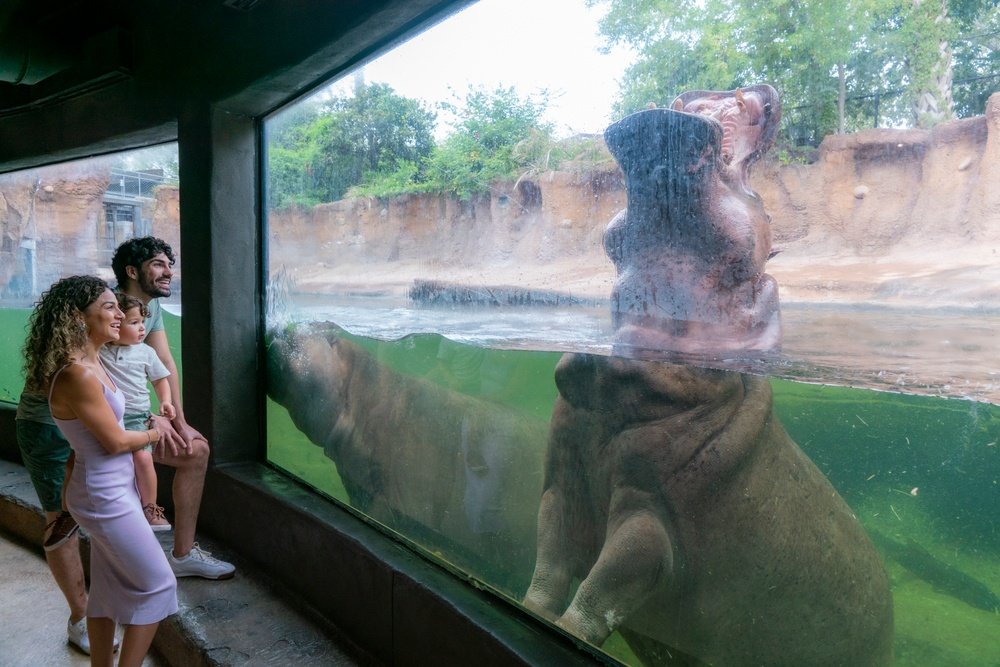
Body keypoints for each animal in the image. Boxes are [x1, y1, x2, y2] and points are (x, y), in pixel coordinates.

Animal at [520, 352, 896, 664]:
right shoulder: (560, 492)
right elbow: (549, 563)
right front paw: (532, 611)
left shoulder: (649, 523)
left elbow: (604, 585)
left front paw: (567, 630)